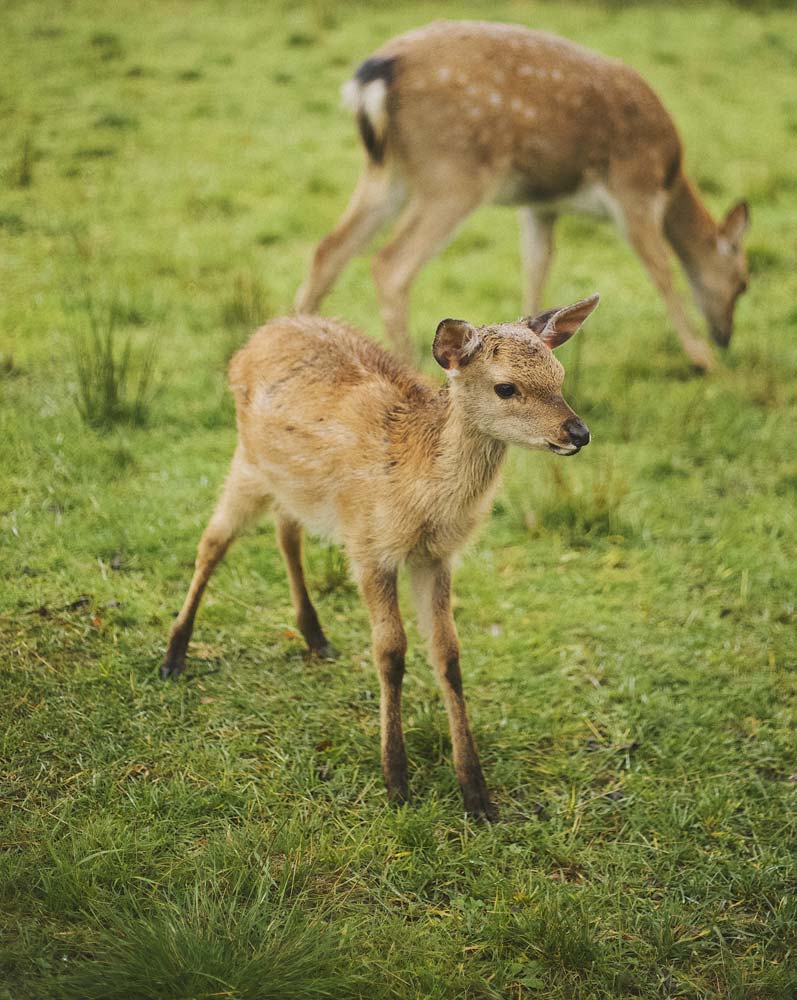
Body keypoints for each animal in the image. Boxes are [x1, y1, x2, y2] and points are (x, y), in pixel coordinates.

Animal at [162, 294, 596, 820]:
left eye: (560, 375)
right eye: (506, 387)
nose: (578, 432)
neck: (416, 488)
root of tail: (259, 335)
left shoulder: (435, 558)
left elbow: (448, 653)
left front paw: (477, 795)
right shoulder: (370, 546)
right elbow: (390, 651)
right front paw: (396, 781)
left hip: (291, 484)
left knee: (286, 531)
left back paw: (316, 637)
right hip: (247, 462)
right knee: (211, 543)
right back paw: (173, 657)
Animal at [294, 19, 748, 372]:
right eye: (743, 283)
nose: (725, 338)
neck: (670, 180)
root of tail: (373, 78)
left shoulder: (540, 204)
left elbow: (536, 267)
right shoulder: (633, 187)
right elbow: (662, 271)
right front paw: (702, 359)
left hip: (387, 171)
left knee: (329, 248)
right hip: (455, 171)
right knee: (390, 264)